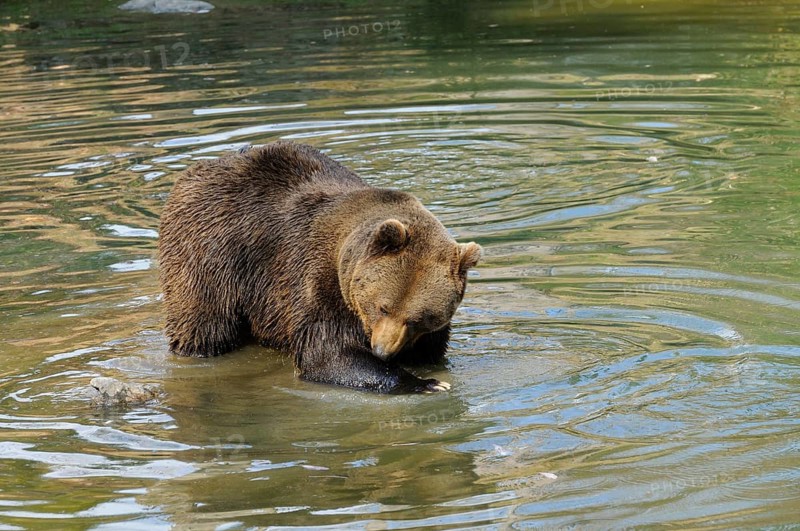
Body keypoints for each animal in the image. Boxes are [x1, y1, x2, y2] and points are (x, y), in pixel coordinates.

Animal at [158, 141, 481, 393]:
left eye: (418, 319)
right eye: (383, 307)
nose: (382, 351)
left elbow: (430, 350)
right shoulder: (315, 280)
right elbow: (328, 352)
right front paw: (426, 383)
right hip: (211, 251)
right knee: (204, 322)